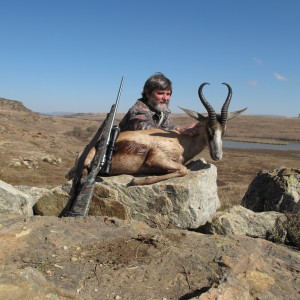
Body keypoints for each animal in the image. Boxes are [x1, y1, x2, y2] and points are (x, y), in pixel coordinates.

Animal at [65, 82, 246, 185]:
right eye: (208, 129)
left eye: (224, 131)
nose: (217, 155)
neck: (181, 141)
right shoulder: (156, 159)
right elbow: (183, 170)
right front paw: (137, 180)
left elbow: (182, 169)